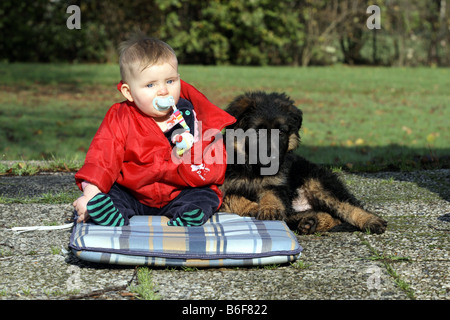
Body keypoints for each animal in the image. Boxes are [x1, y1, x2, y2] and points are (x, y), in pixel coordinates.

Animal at [221, 91, 386, 234]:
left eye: (281, 131)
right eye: (257, 132)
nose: (273, 158)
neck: (252, 169)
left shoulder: (278, 185)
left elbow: (271, 194)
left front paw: (270, 208)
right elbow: (232, 196)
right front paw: (253, 206)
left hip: (318, 184)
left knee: (347, 207)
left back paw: (370, 221)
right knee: (328, 216)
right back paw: (310, 223)